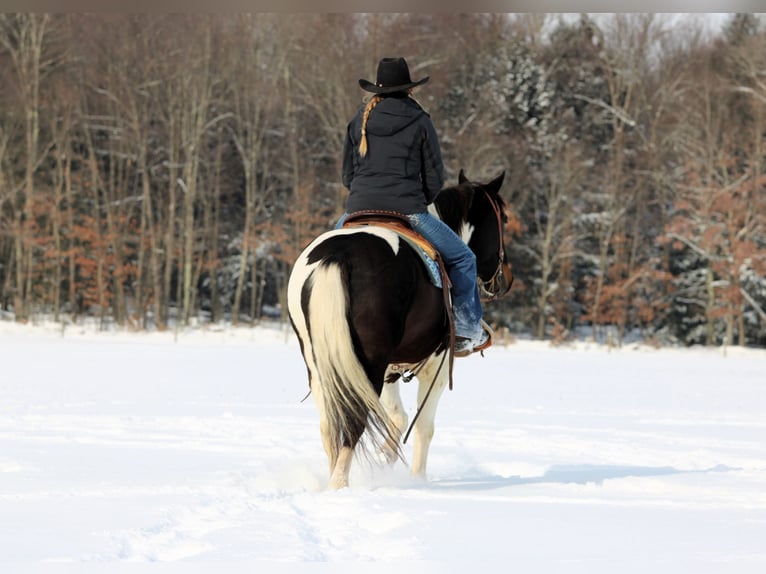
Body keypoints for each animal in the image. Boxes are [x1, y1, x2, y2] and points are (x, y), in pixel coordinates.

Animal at [287, 170, 511, 489]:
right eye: (503, 218)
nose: (502, 277)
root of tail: (337, 256)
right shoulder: (436, 365)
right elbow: (423, 426)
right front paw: (417, 478)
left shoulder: (390, 369)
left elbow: (397, 417)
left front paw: (387, 455)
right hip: (369, 363)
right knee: (354, 422)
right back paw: (340, 485)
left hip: (322, 364)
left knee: (330, 424)